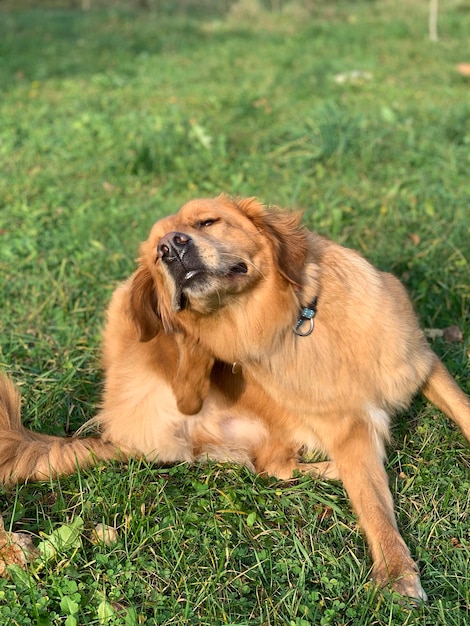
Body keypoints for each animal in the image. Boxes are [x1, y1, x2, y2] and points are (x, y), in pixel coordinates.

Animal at [0, 194, 470, 600]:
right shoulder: (348, 429)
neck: (294, 320)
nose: (170, 249)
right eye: (155, 253)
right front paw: (396, 571)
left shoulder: (422, 364)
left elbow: (461, 405)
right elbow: (373, 504)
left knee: (271, 466)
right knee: (267, 465)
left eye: (207, 222)